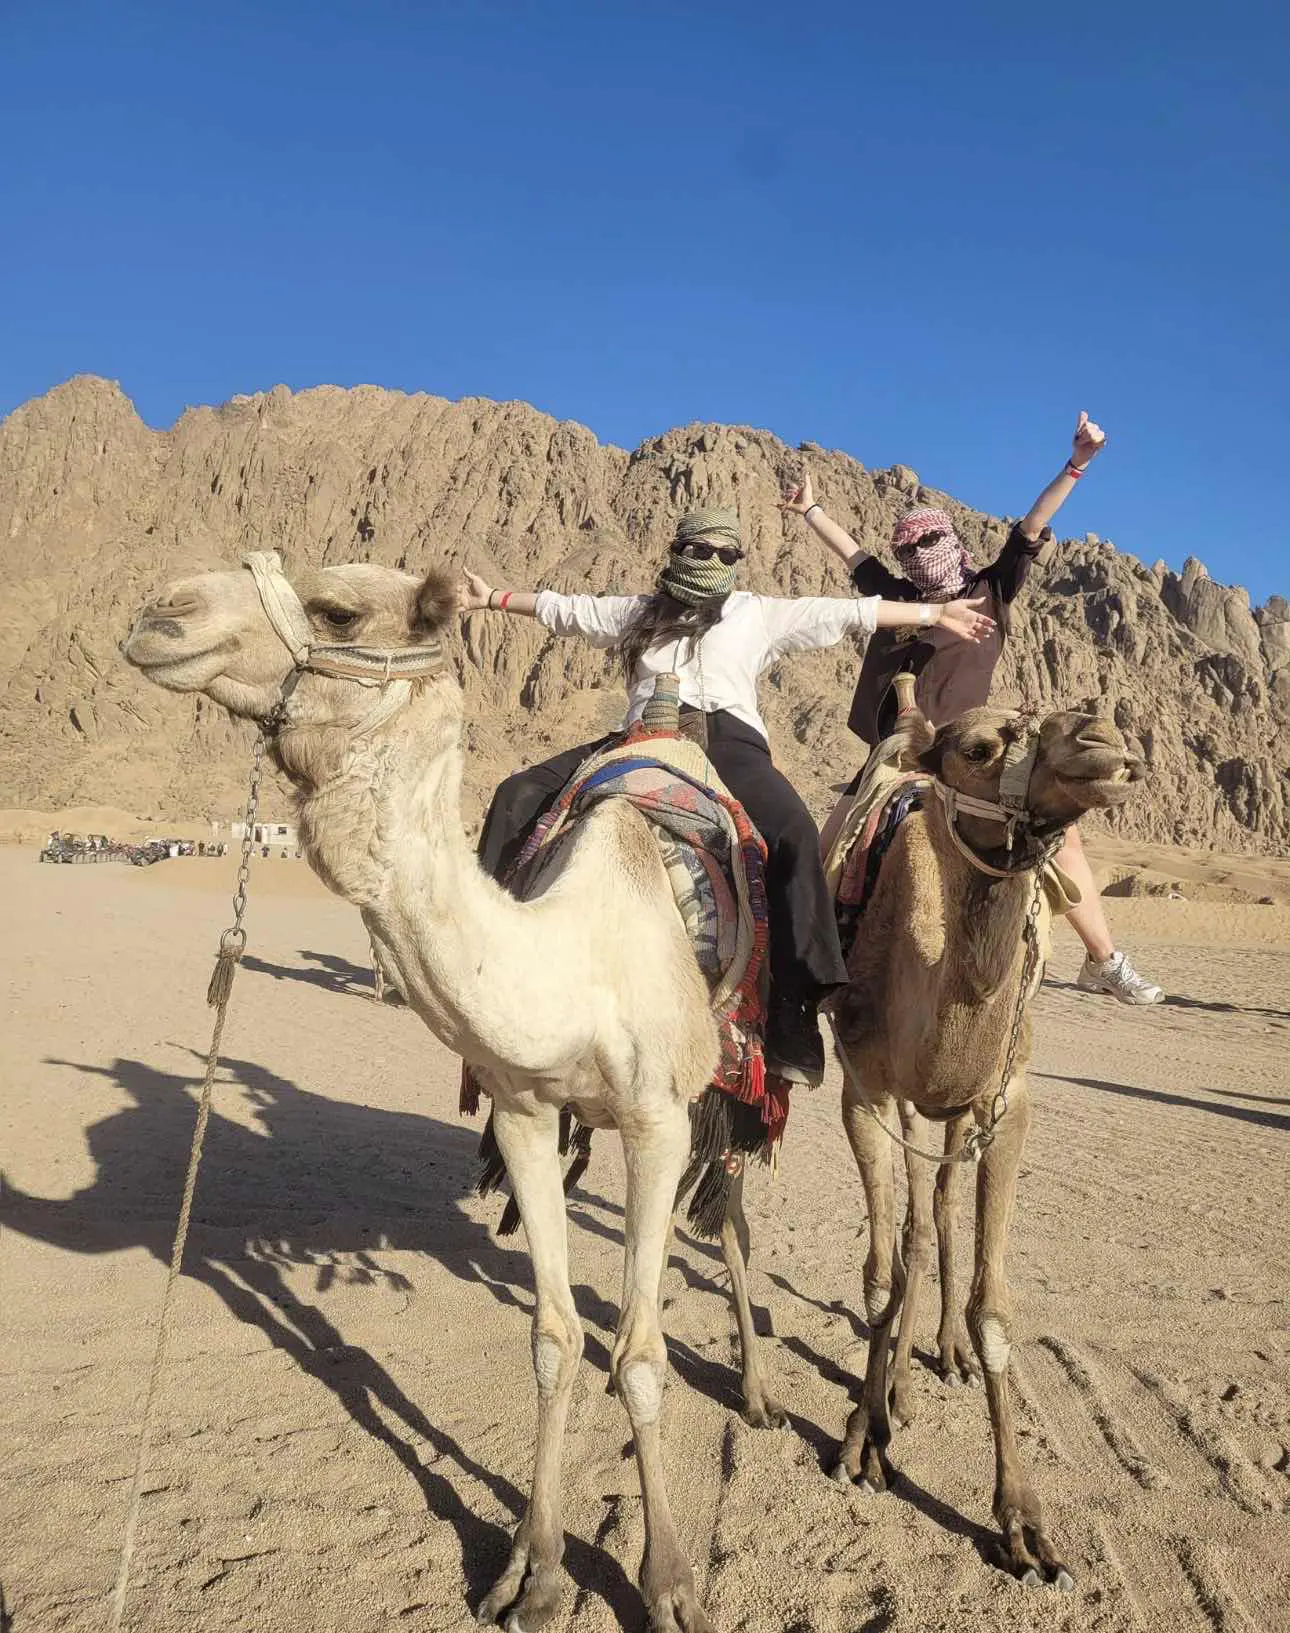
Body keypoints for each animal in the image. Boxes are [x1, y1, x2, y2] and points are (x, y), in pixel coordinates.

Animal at [122, 551, 778, 1633]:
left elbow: (641, 1355)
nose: (160, 612)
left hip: (737, 1082)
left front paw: (671, 1583)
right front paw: (532, 1570)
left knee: (740, 1216)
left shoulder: (655, 1118)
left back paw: (781, 1394)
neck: (571, 963)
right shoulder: (525, 1110)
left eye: (340, 608)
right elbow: (554, 1336)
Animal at [827, 684, 1144, 1590]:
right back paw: (895, 1391)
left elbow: (992, 1305)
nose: (1103, 738)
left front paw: (1025, 1525)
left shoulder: (1008, 1103)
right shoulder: (865, 1090)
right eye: (976, 748)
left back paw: (939, 1356)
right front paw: (862, 1437)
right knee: (913, 1232)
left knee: (936, 1219)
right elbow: (879, 1276)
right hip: (906, 1104)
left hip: (959, 1111)